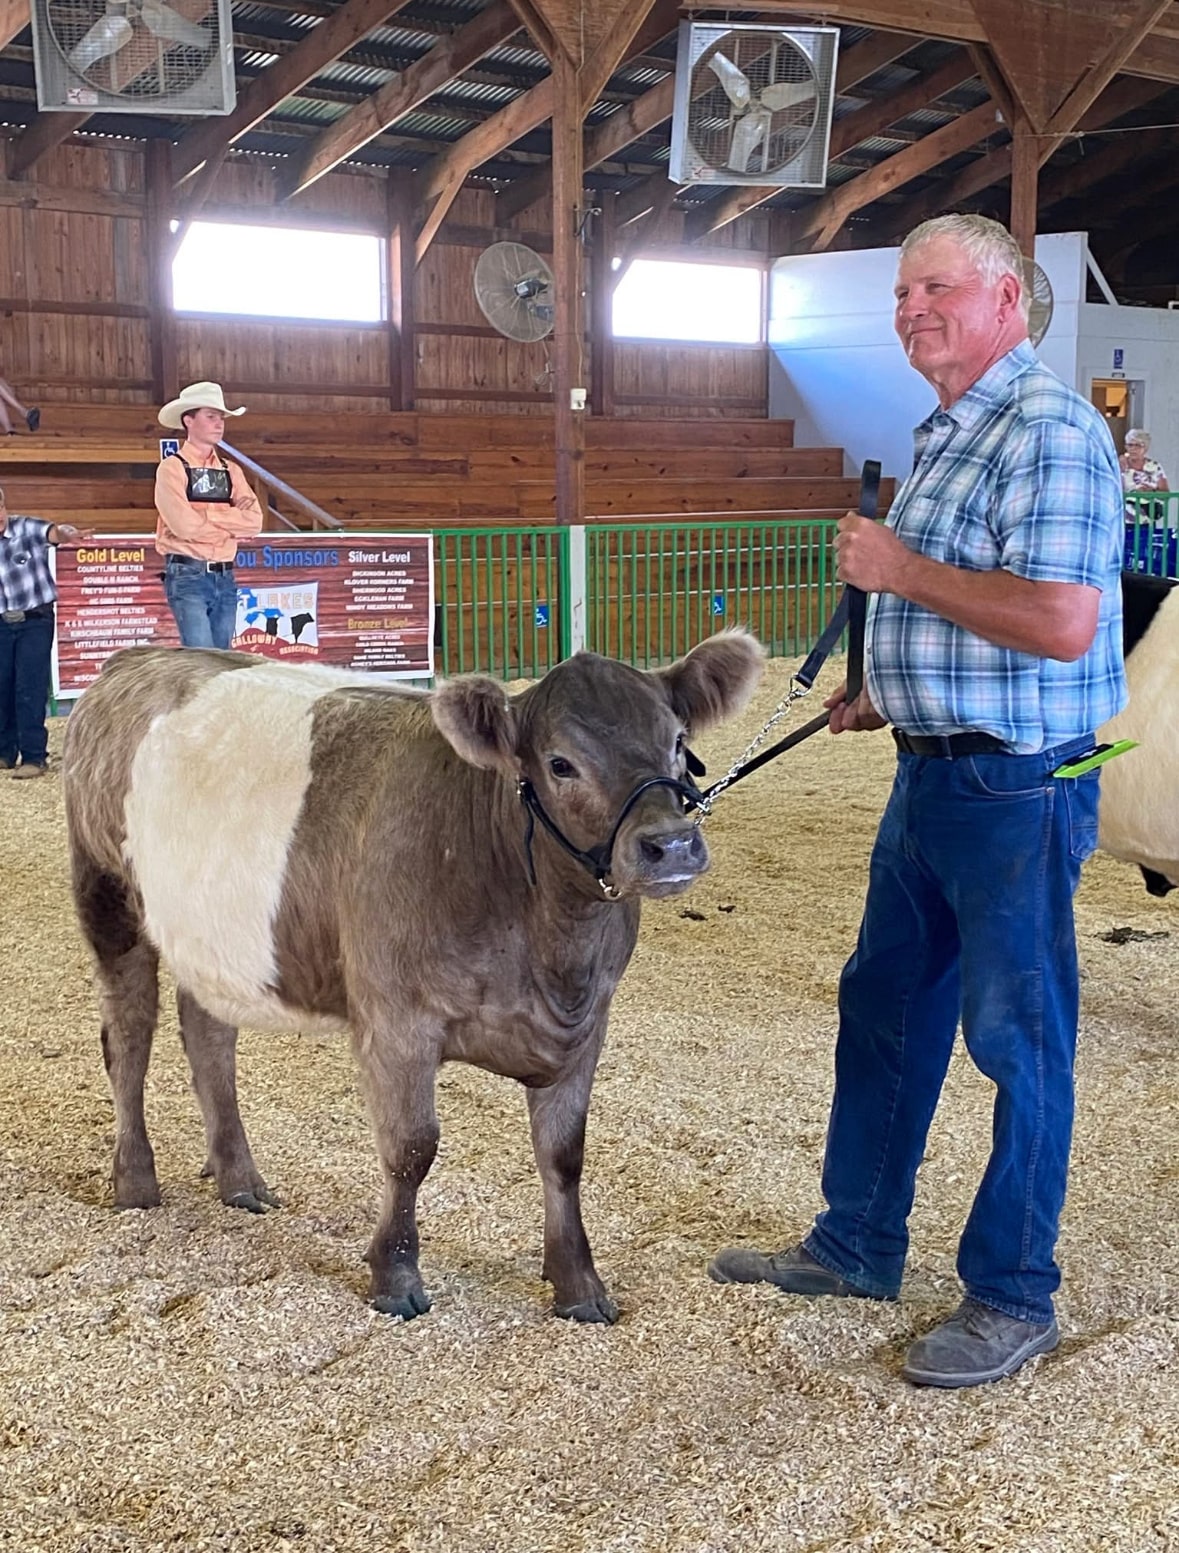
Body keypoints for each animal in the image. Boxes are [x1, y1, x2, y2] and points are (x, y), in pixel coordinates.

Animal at [61, 633, 763, 1324]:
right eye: (560, 764)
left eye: (678, 741)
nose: (671, 844)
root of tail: (134, 658)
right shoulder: (396, 1019)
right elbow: (411, 1148)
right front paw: (395, 1275)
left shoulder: (589, 1020)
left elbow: (564, 1155)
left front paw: (579, 1285)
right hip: (107, 895)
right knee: (127, 1038)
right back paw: (135, 1181)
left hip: (213, 937)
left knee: (208, 1038)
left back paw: (239, 1179)